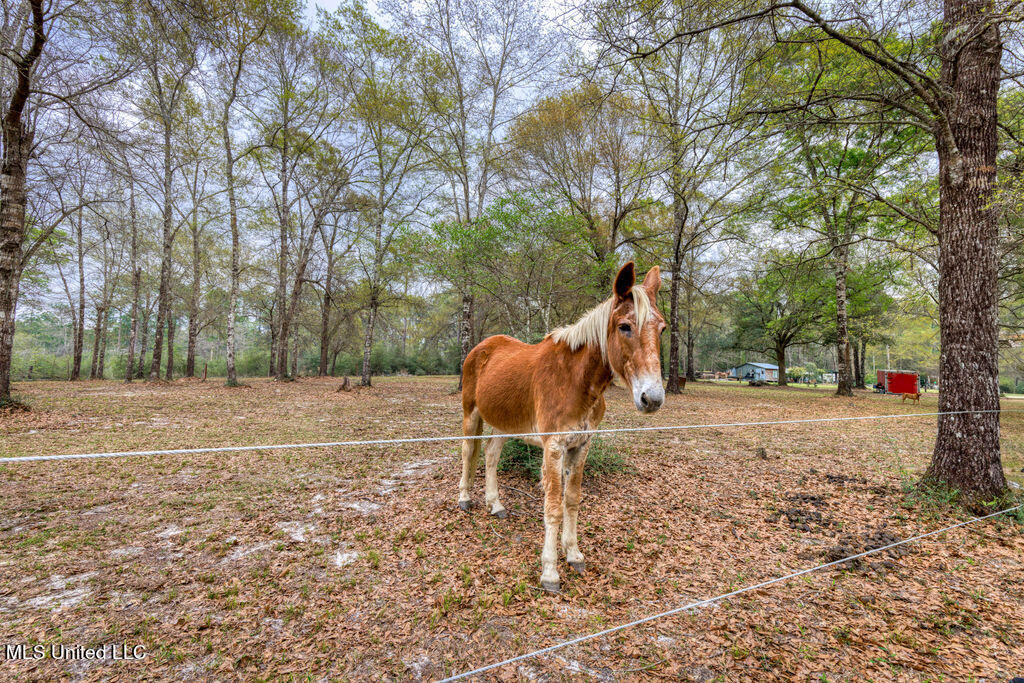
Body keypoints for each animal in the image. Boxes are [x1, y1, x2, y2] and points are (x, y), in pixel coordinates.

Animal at [456, 262, 663, 593]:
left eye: (662, 329)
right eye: (625, 326)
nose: (652, 398)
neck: (575, 380)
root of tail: (482, 346)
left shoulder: (580, 445)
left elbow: (572, 500)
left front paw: (574, 553)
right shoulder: (553, 448)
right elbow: (553, 506)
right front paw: (550, 571)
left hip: (504, 424)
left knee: (490, 455)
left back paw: (495, 504)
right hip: (471, 414)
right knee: (468, 452)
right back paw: (464, 499)